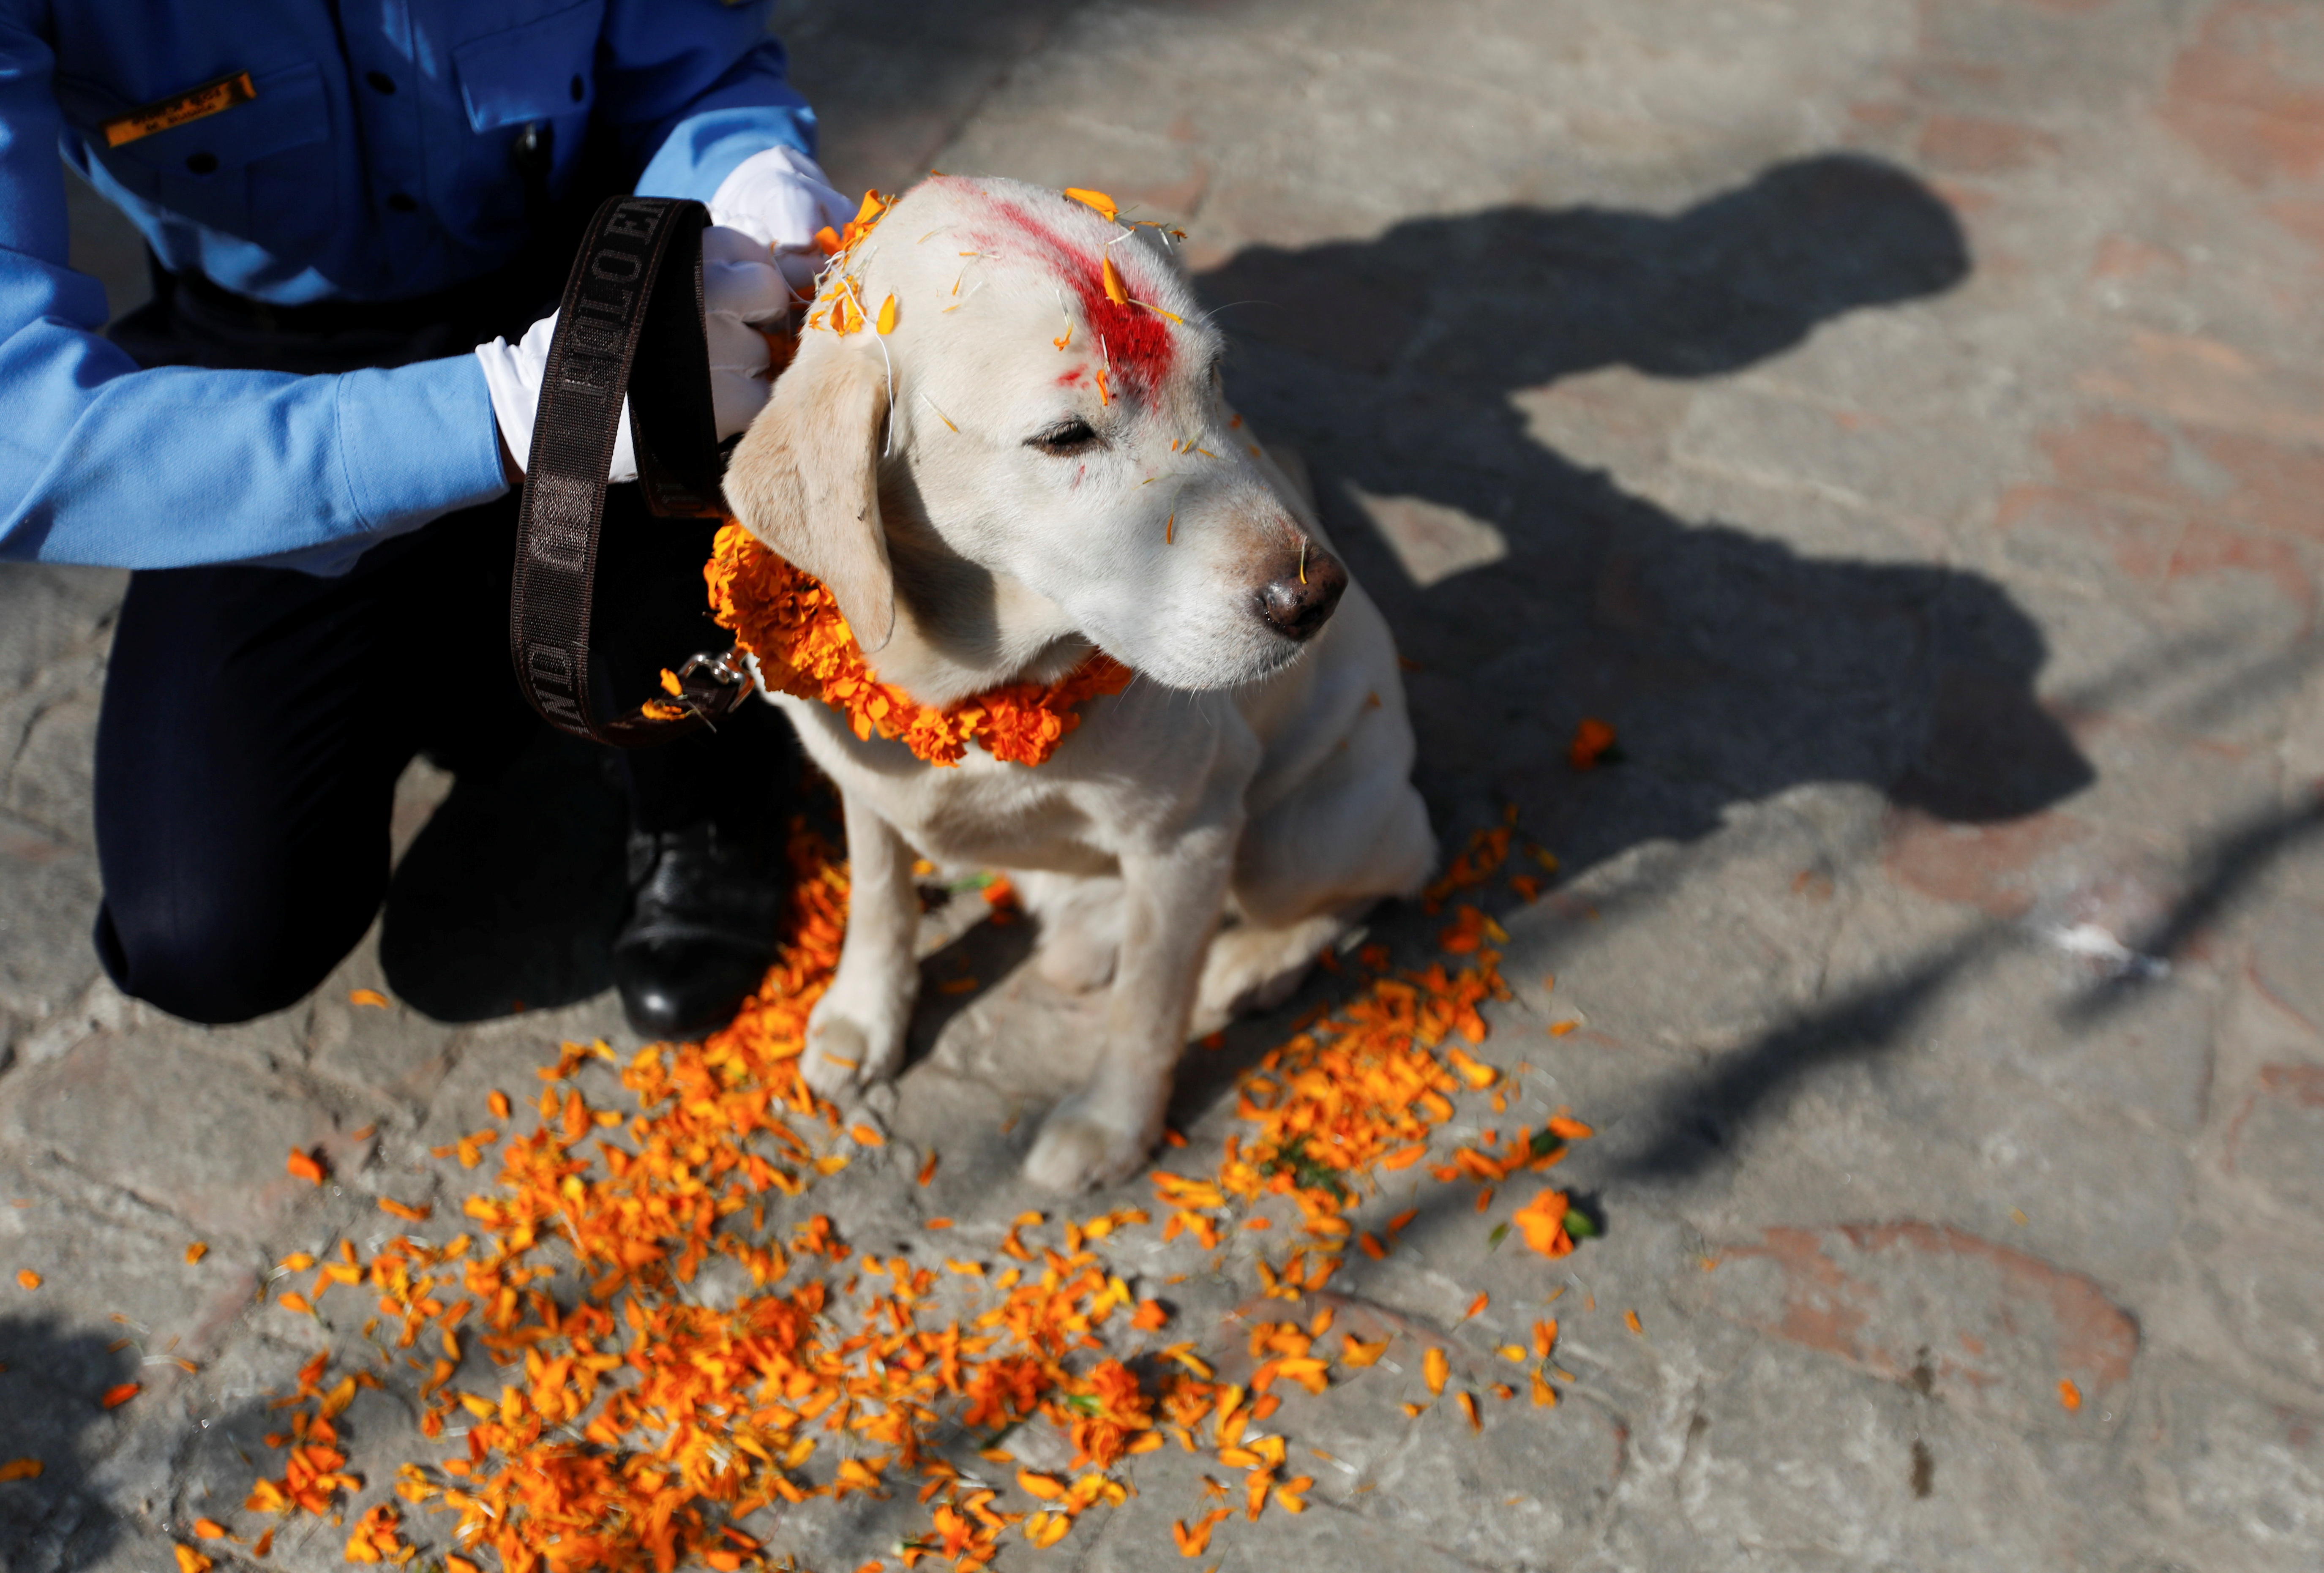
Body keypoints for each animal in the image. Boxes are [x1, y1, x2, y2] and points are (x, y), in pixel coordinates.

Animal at [716, 177, 1432, 1185]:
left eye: (1214, 381)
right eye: (1064, 437)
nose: (1314, 596)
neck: (971, 685)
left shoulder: (1190, 835)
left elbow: (1149, 1005)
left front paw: (1112, 1128)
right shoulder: (862, 784)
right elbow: (880, 897)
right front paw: (865, 1014)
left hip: (1292, 841)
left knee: (1397, 865)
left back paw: (1254, 963)